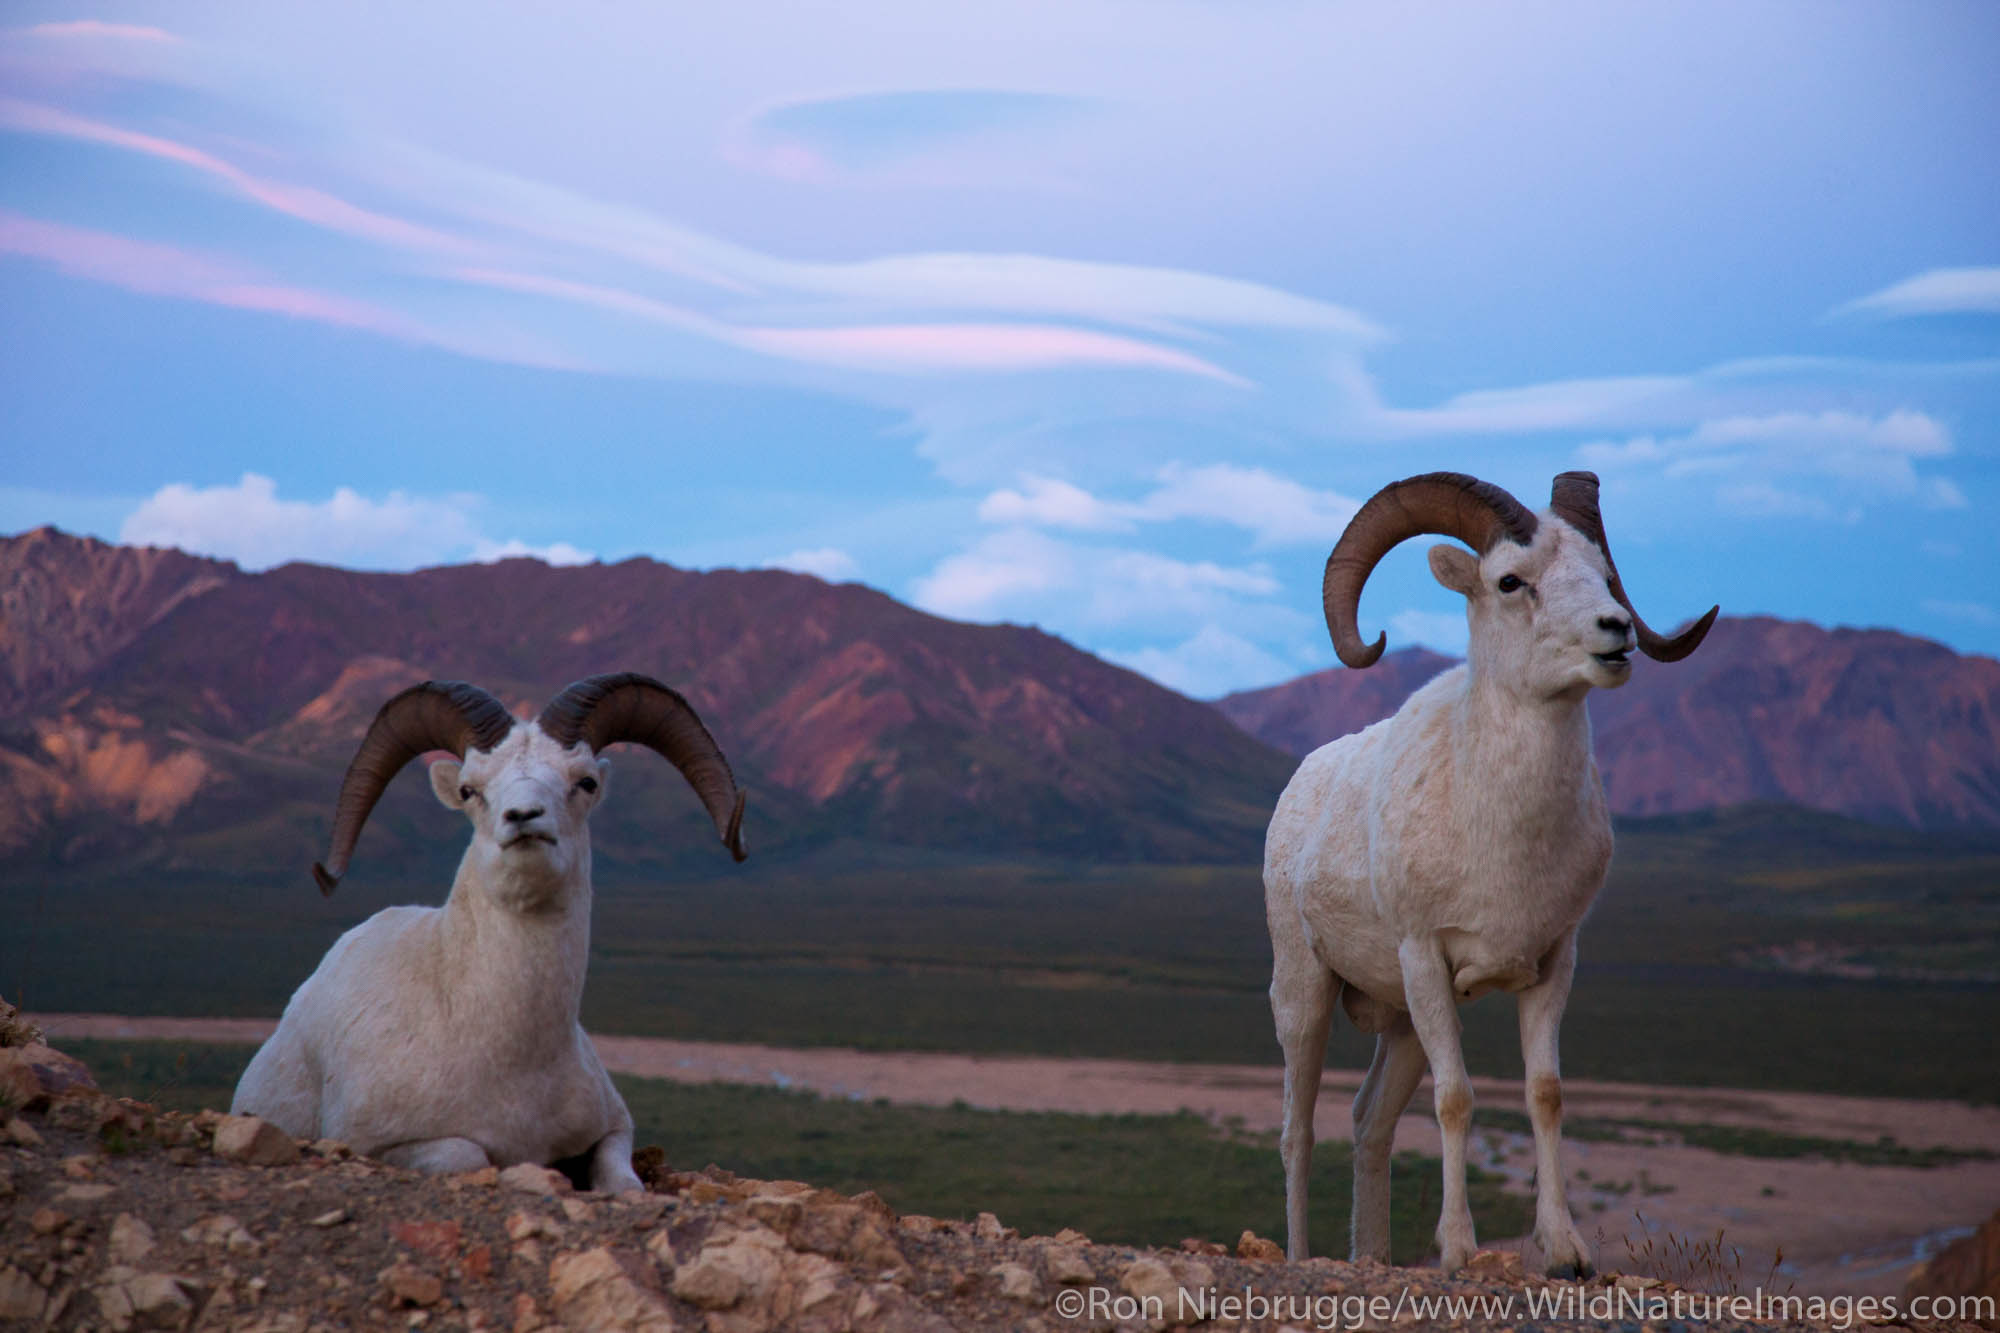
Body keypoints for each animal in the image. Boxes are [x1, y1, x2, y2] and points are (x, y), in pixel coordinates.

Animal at [232, 668, 752, 1184]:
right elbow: (467, 1154)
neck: (514, 1058)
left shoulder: (614, 1129)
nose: (522, 817)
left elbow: (623, 1183)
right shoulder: (377, 1144)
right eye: (469, 790)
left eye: (584, 782)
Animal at [1264, 466, 1720, 1264]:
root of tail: (1299, 786)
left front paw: (1566, 1252)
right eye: (1512, 581)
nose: (1617, 632)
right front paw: (1458, 1250)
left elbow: (1545, 1093)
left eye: (1603, 576)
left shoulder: (1552, 964)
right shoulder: (1426, 960)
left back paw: (1373, 1258)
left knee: (1369, 1122)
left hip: (1401, 1025)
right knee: (1300, 1130)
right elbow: (1457, 1101)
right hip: (1307, 995)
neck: (1504, 837)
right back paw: (1298, 1255)